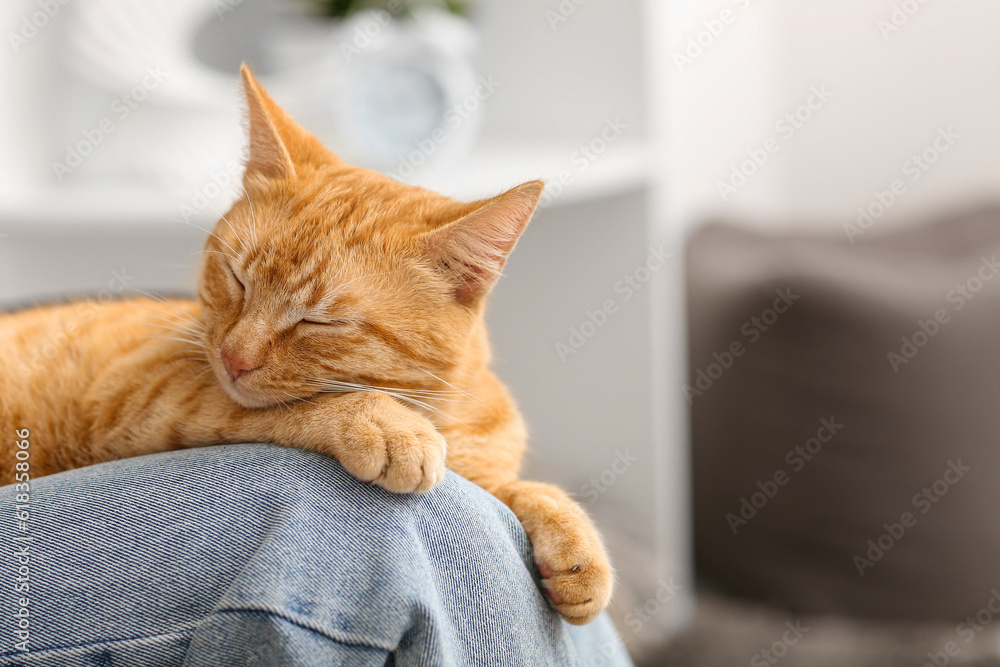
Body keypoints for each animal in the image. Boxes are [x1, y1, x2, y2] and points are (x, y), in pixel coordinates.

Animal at [0, 65, 612, 624]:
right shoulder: (137, 393)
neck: (442, 416)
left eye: (320, 322)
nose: (233, 357)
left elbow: (514, 489)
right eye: (237, 279)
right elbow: (280, 406)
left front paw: (572, 536)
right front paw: (383, 423)